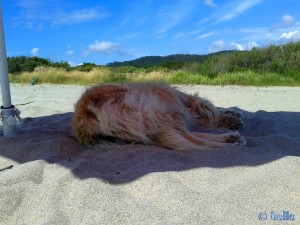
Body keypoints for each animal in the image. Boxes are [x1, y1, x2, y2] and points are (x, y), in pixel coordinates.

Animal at [71, 81, 245, 150]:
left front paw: (232, 114)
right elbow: (212, 112)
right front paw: (229, 118)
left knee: (186, 135)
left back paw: (231, 138)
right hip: (164, 103)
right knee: (189, 138)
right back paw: (230, 141)